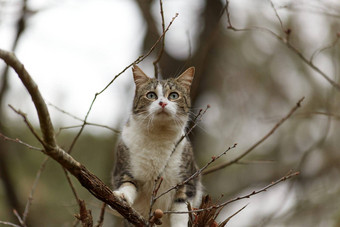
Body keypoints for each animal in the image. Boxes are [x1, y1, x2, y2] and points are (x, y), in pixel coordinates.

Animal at [111, 64, 202, 226]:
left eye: (174, 95)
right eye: (151, 95)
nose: (162, 103)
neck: (158, 136)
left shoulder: (187, 181)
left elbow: (181, 210)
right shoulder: (123, 167)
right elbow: (127, 183)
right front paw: (122, 196)